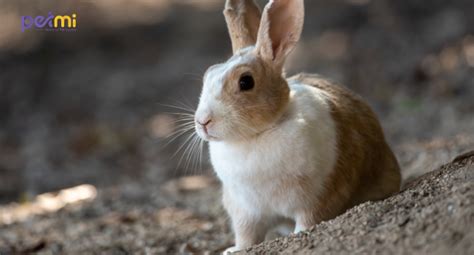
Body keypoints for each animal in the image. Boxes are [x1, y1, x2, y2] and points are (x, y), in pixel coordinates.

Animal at [193, 0, 400, 252]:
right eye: (207, 75)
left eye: (246, 82)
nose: (203, 121)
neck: (258, 134)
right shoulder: (244, 210)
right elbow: (246, 235)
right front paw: (234, 250)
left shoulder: (319, 193)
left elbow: (309, 219)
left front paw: (299, 235)